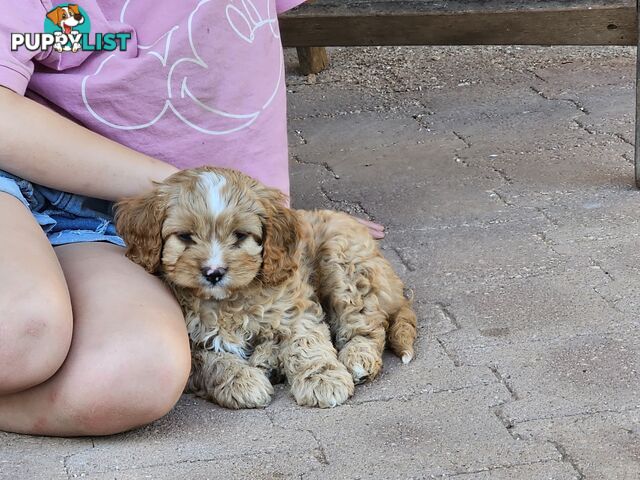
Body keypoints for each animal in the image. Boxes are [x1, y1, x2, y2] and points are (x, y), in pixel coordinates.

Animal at [115, 167, 418, 406]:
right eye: (185, 237)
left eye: (240, 235)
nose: (214, 273)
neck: (228, 301)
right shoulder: (193, 343)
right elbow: (214, 361)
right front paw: (242, 381)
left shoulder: (295, 309)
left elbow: (308, 343)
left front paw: (323, 377)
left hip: (344, 262)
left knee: (367, 324)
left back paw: (357, 357)